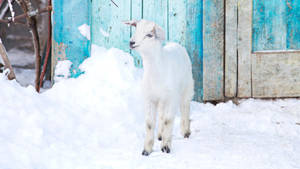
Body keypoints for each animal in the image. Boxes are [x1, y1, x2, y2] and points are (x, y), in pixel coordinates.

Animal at [124, 19, 195, 156]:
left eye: (149, 35)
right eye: (136, 29)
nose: (131, 42)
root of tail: (175, 44)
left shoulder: (172, 98)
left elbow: (168, 120)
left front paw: (166, 147)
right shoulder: (150, 98)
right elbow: (150, 123)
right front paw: (147, 150)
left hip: (187, 87)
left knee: (185, 106)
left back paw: (185, 131)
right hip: (162, 99)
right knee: (161, 114)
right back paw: (160, 135)